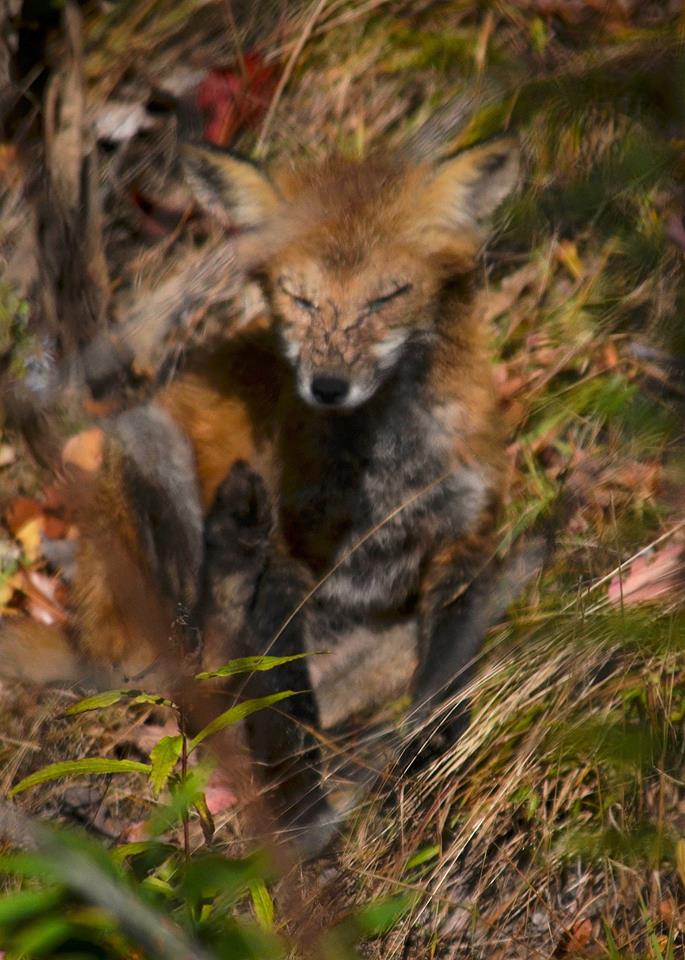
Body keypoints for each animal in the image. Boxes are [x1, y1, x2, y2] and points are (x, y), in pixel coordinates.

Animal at [3, 131, 519, 842]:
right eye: (298, 298)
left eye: (388, 296)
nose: (327, 385)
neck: (391, 466)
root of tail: (85, 630)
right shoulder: (294, 557)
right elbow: (284, 700)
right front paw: (305, 810)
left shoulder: (462, 536)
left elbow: (446, 670)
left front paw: (435, 751)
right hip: (147, 449)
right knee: (199, 656)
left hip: (369, 655)